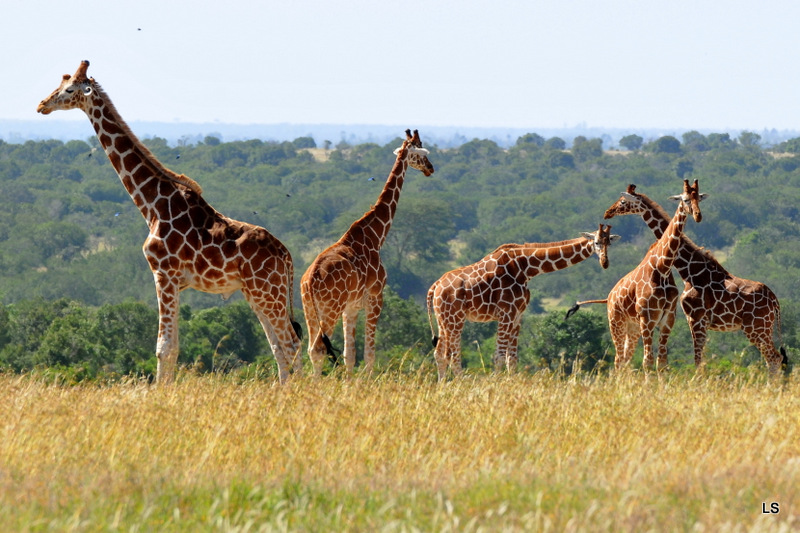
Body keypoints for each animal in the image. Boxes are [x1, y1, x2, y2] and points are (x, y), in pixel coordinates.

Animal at [37, 60, 302, 382]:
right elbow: (172, 346)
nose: (41, 105)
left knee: (291, 344)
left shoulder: (163, 274)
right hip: (257, 293)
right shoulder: (175, 281)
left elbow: (165, 348)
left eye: (68, 90)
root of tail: (286, 256)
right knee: (279, 346)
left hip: (267, 292)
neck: (152, 205)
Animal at [302, 129, 438, 374]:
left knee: (310, 348)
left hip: (309, 310)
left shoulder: (351, 307)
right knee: (318, 349)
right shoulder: (375, 298)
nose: (430, 168)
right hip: (329, 309)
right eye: (421, 150)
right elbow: (369, 355)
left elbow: (349, 355)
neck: (376, 235)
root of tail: (309, 282)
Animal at [424, 223, 620, 378]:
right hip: (455, 319)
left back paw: (443, 386)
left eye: (609, 243)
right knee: (452, 355)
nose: (605, 263)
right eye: (596, 242)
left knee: (439, 353)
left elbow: (512, 358)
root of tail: (434, 286)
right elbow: (499, 356)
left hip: (443, 320)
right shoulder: (506, 313)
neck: (525, 268)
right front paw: (495, 385)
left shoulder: (518, 315)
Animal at [564, 189, 696, 372]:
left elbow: (662, 363)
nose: (608, 212)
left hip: (632, 327)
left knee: (626, 359)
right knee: (618, 360)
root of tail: (608, 298)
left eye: (697, 197)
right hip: (617, 323)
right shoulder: (648, 319)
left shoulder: (668, 319)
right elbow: (648, 361)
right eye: (685, 199)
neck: (663, 268)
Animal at [604, 181, 784, 372]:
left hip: (756, 327)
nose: (608, 212)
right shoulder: (696, 320)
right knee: (774, 359)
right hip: (763, 327)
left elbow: (698, 361)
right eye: (685, 199)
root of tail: (775, 300)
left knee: (774, 358)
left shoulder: (695, 318)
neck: (688, 271)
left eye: (623, 201)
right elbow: (699, 360)